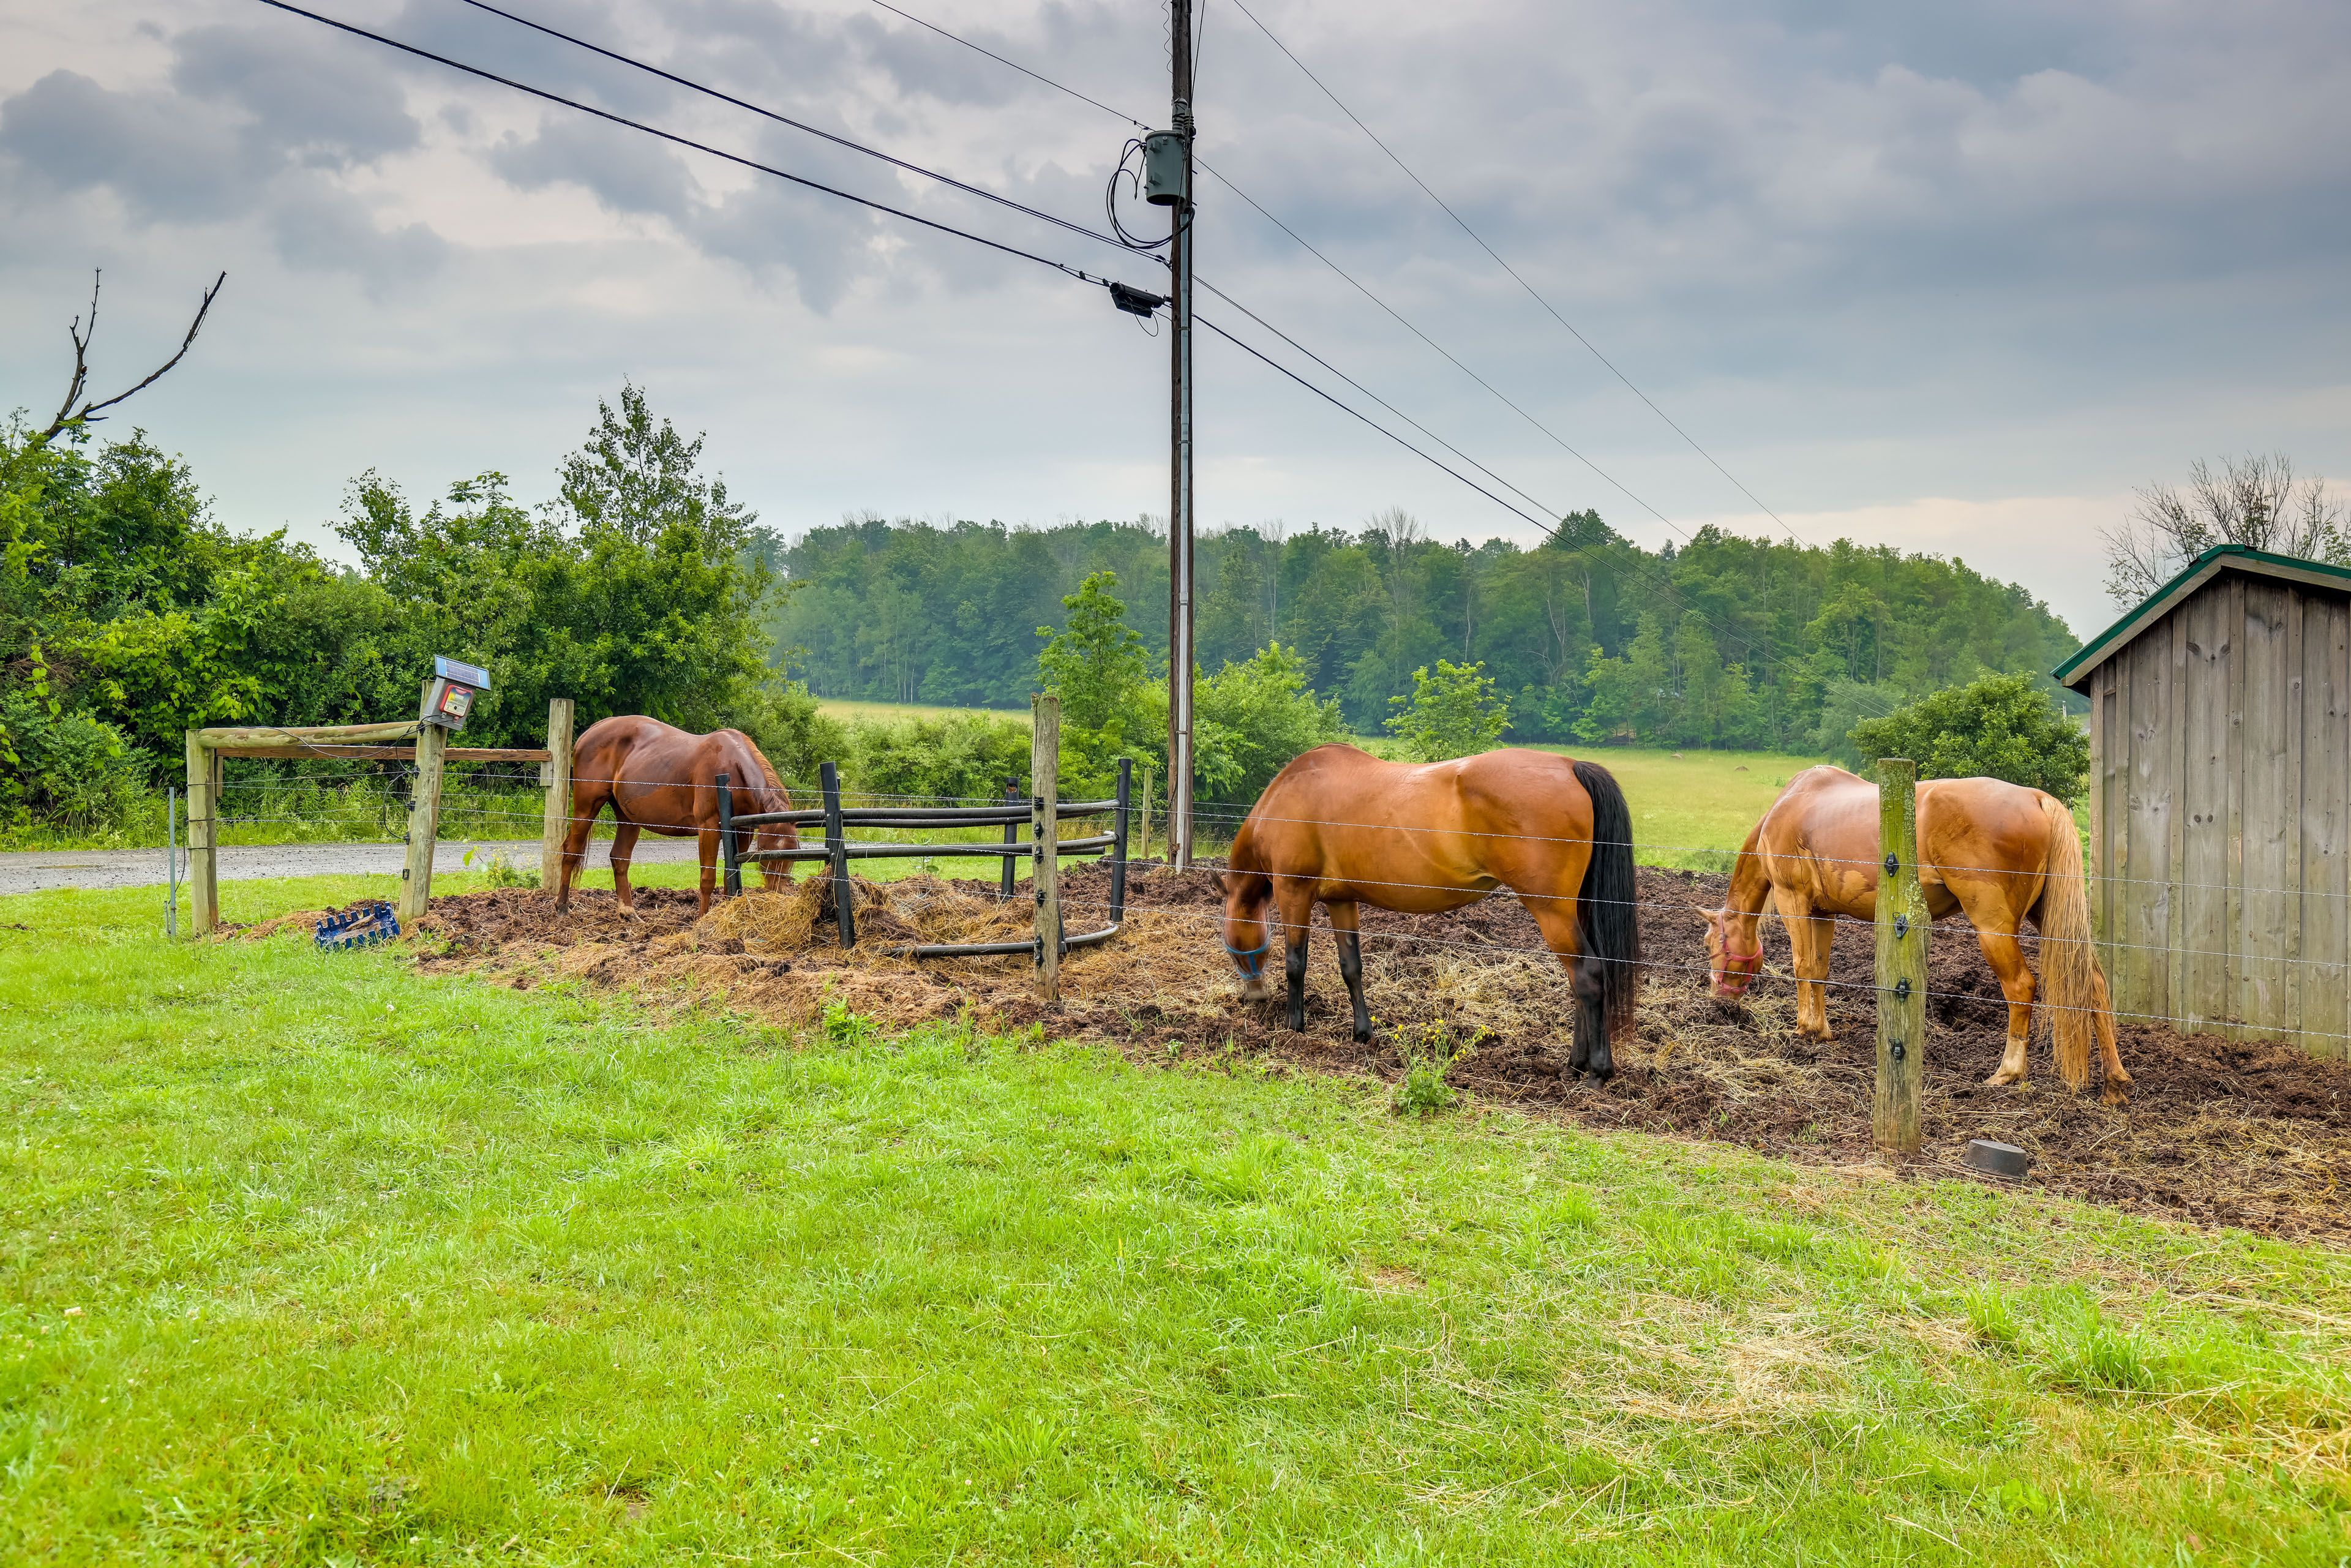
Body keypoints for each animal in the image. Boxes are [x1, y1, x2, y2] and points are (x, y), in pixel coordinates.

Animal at [556, 716, 799, 916]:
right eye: (768, 855)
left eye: (793, 856)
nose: (778, 895)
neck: (731, 768)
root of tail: (593, 730)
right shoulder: (709, 828)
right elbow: (708, 878)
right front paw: (703, 918)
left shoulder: (742, 831)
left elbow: (730, 875)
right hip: (586, 809)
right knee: (571, 851)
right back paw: (562, 908)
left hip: (628, 818)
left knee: (620, 858)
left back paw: (629, 913)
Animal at [1218, 744, 1640, 1080]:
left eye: (1230, 946)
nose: (1254, 996)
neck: (1288, 797)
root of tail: (1571, 766)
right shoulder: (1342, 901)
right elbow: (1351, 966)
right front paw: (1362, 1033)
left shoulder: (1294, 893)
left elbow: (1295, 963)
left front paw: (1295, 1028)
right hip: (1574, 912)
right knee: (1578, 983)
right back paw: (1575, 1064)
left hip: (1551, 911)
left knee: (1587, 975)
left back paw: (1597, 1072)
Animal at [1694, 766, 2130, 1103]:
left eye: (1710, 944)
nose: (1719, 999)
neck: (1794, 804)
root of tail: (2035, 798)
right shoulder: (1823, 913)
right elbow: (1818, 969)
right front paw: (1822, 1031)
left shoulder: (1794, 901)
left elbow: (1802, 966)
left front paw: (1804, 1030)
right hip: (2052, 924)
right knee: (2093, 984)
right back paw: (2114, 1081)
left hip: (1992, 928)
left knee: (2021, 987)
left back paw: (2008, 1071)